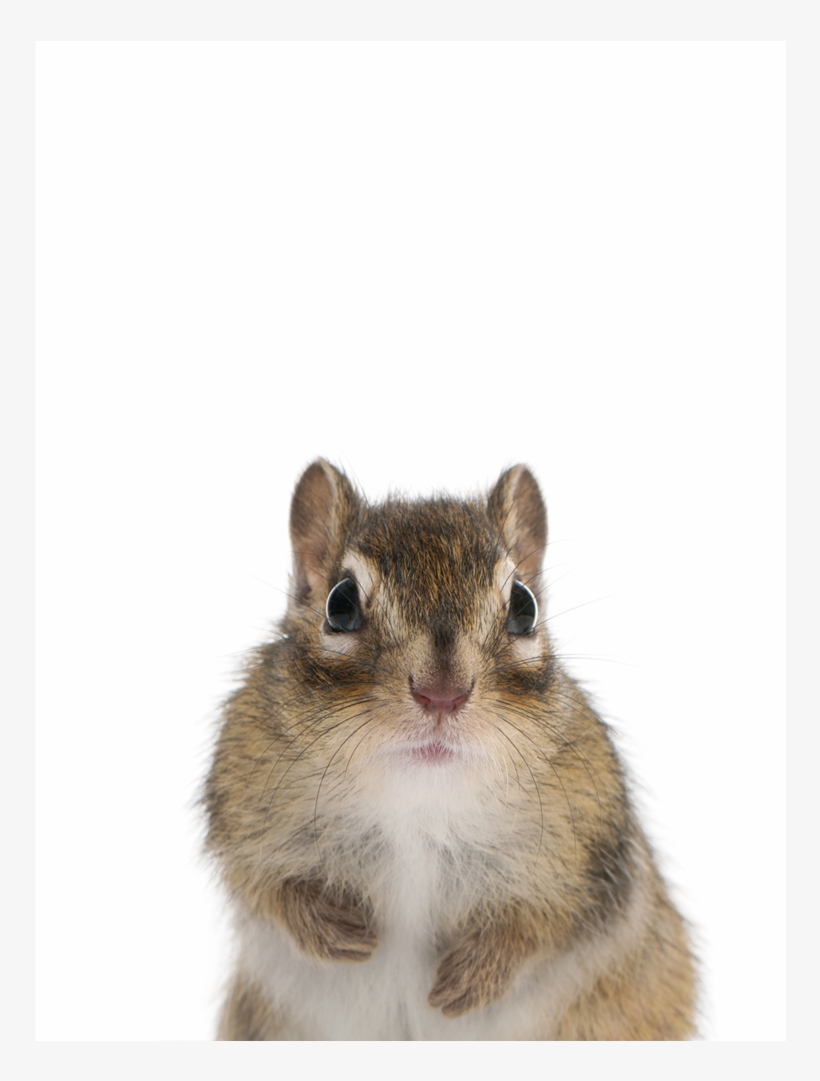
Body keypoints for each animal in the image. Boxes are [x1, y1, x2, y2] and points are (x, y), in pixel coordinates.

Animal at [204, 460, 697, 1040]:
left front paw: (474, 977)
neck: (420, 801)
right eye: (339, 604)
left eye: (524, 607)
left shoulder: (588, 853)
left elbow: (546, 922)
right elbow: (266, 886)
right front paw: (332, 929)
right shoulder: (240, 804)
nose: (442, 694)